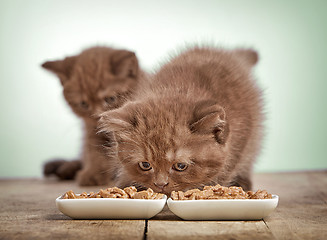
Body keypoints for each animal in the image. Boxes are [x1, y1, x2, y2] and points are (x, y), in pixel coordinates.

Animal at [41, 46, 143, 186]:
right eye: (83, 104)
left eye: (110, 99)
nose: (97, 116)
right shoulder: (92, 130)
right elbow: (94, 152)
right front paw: (93, 173)